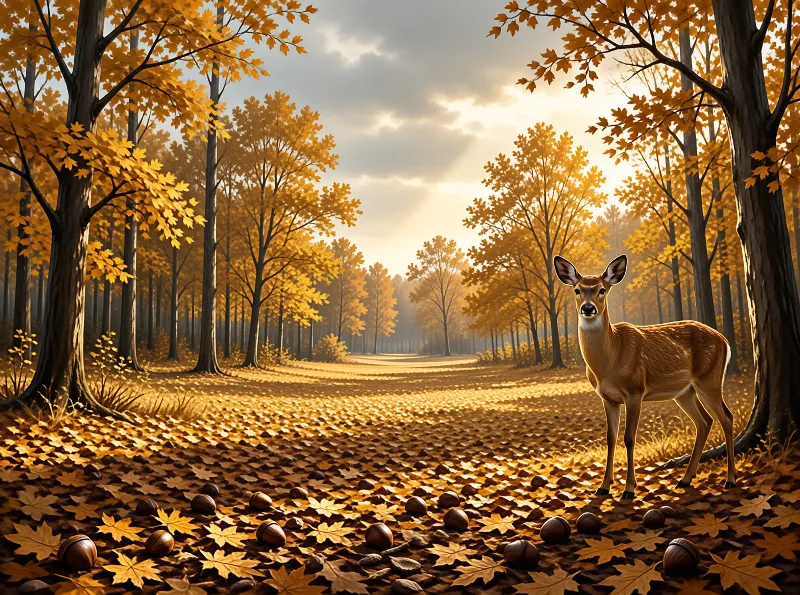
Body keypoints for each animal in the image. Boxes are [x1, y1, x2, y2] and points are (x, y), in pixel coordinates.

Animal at [553, 254, 736, 499]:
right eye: (577, 290)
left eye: (602, 290)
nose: (588, 308)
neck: (610, 360)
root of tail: (725, 342)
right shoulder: (608, 398)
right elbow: (610, 438)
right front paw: (604, 486)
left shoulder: (635, 391)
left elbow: (629, 438)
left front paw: (629, 489)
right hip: (685, 391)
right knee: (705, 421)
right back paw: (685, 479)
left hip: (710, 379)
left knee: (726, 417)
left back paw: (730, 480)